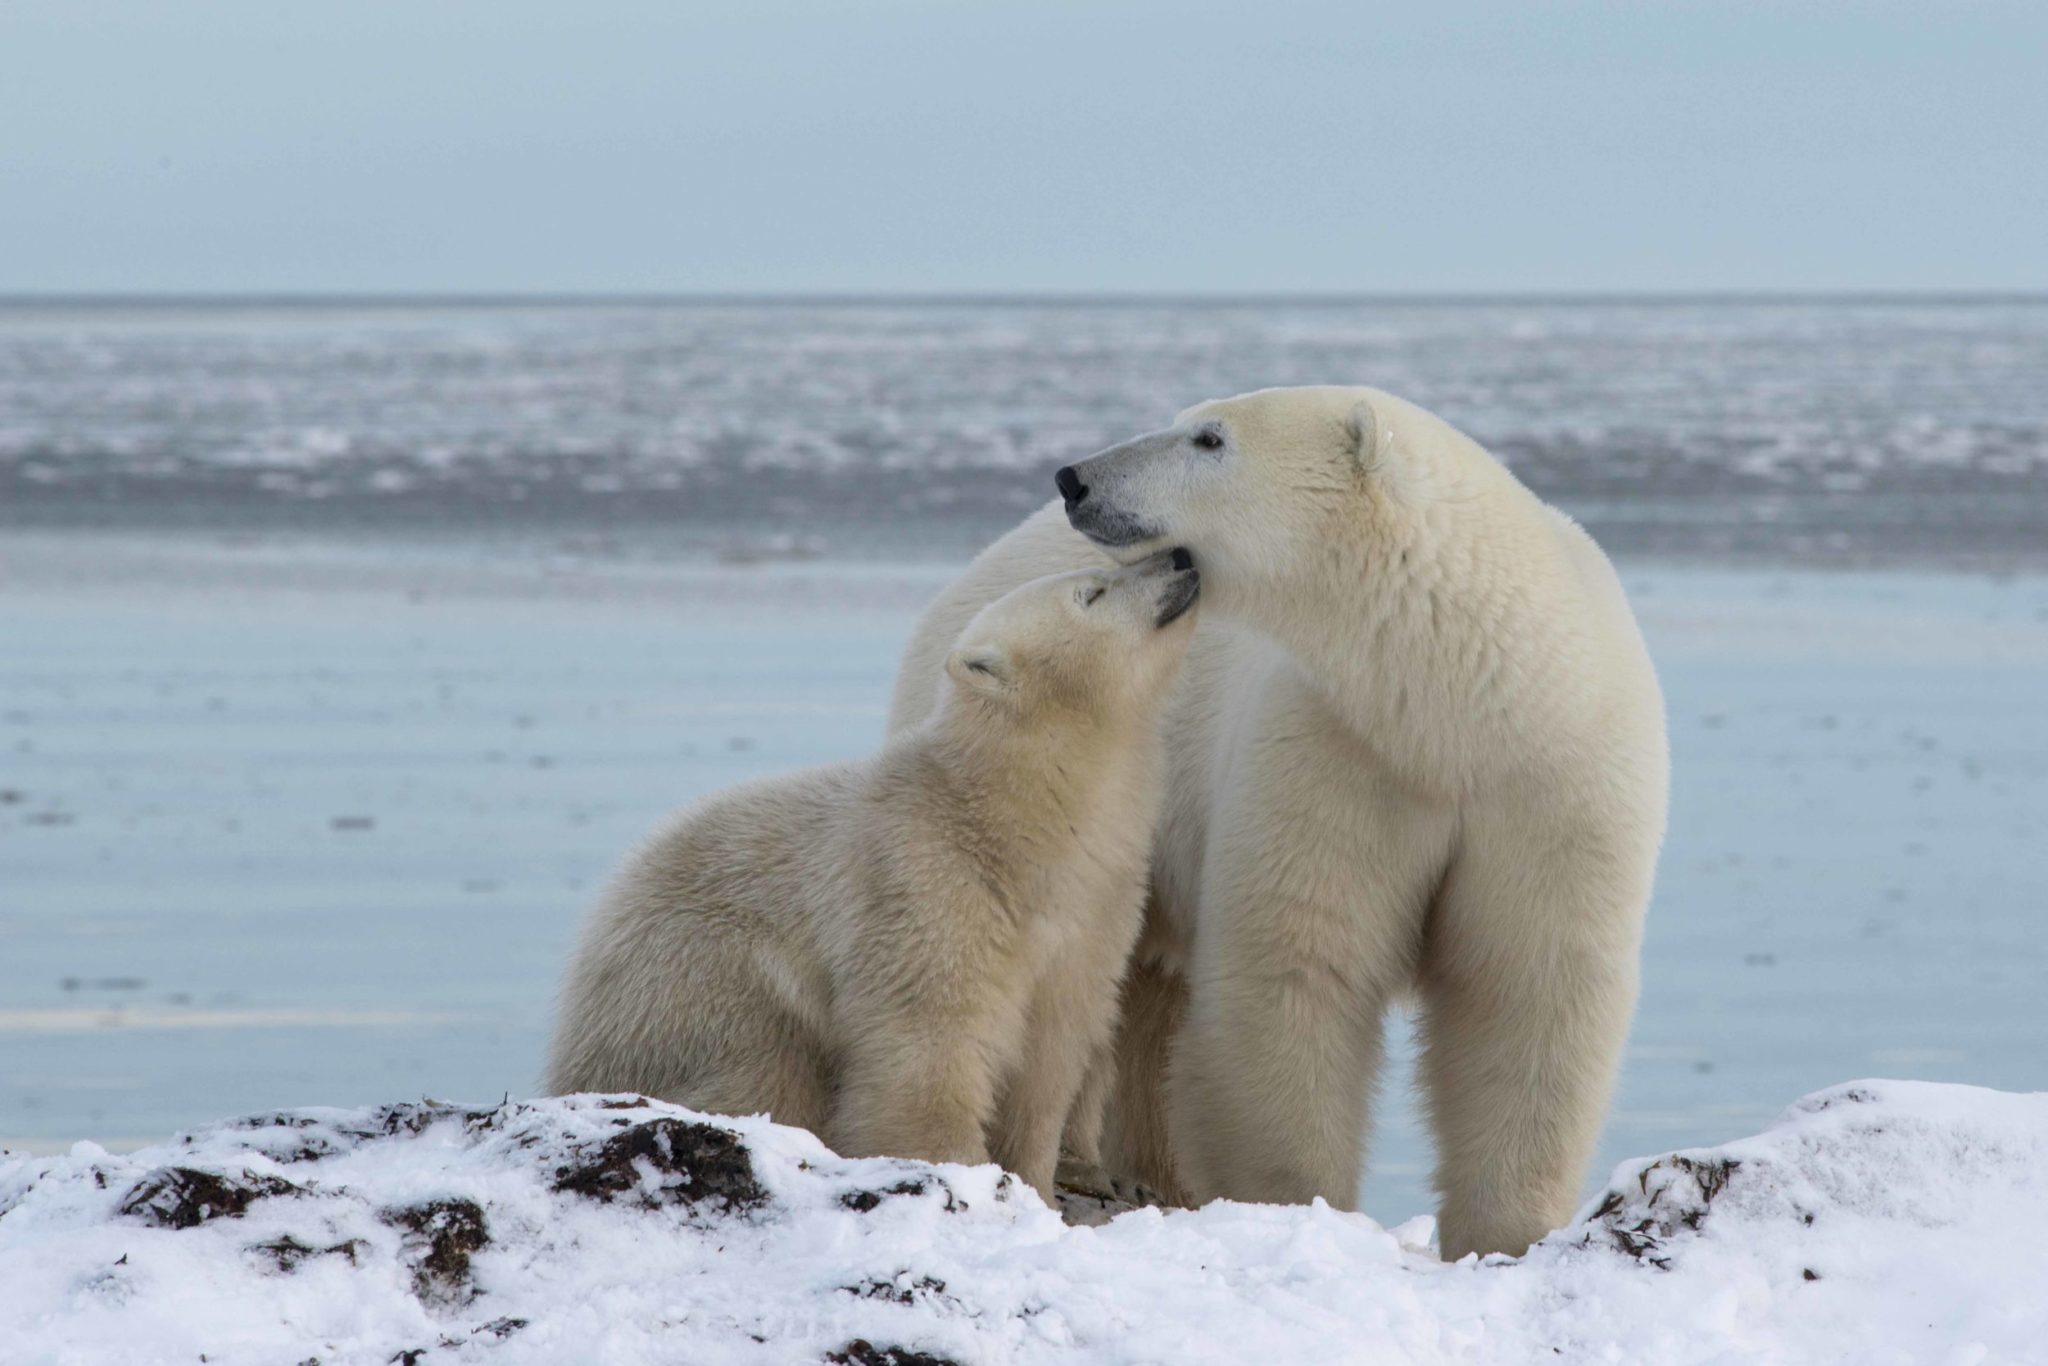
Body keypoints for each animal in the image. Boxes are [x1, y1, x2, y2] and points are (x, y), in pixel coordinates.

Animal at [888, 385, 1671, 1261]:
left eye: (1209, 438)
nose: (1075, 478)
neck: (1456, 712)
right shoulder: (1332, 744)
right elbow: (1298, 969)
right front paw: (1301, 1208)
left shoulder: (1549, 790)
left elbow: (1527, 987)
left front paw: (1506, 1236)